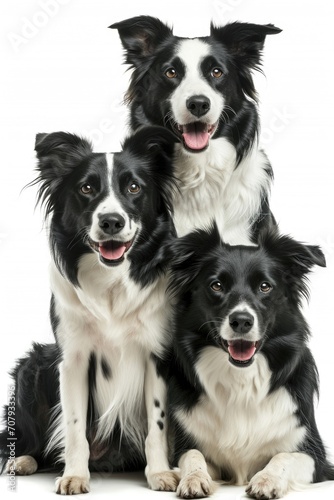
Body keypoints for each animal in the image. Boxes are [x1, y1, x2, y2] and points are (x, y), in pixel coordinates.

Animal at [0, 127, 181, 494]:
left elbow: (157, 423)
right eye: (86, 188)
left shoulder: (157, 355)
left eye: (134, 187)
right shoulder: (73, 359)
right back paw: (23, 460)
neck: (111, 280)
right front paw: (74, 475)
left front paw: (159, 472)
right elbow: (74, 425)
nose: (111, 221)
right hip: (32, 366)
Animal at [160, 225, 332, 498]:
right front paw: (194, 478)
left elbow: (284, 456)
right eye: (216, 285)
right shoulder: (191, 448)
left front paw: (267, 479)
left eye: (265, 286)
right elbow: (193, 455)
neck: (241, 379)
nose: (241, 321)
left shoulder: (315, 455)